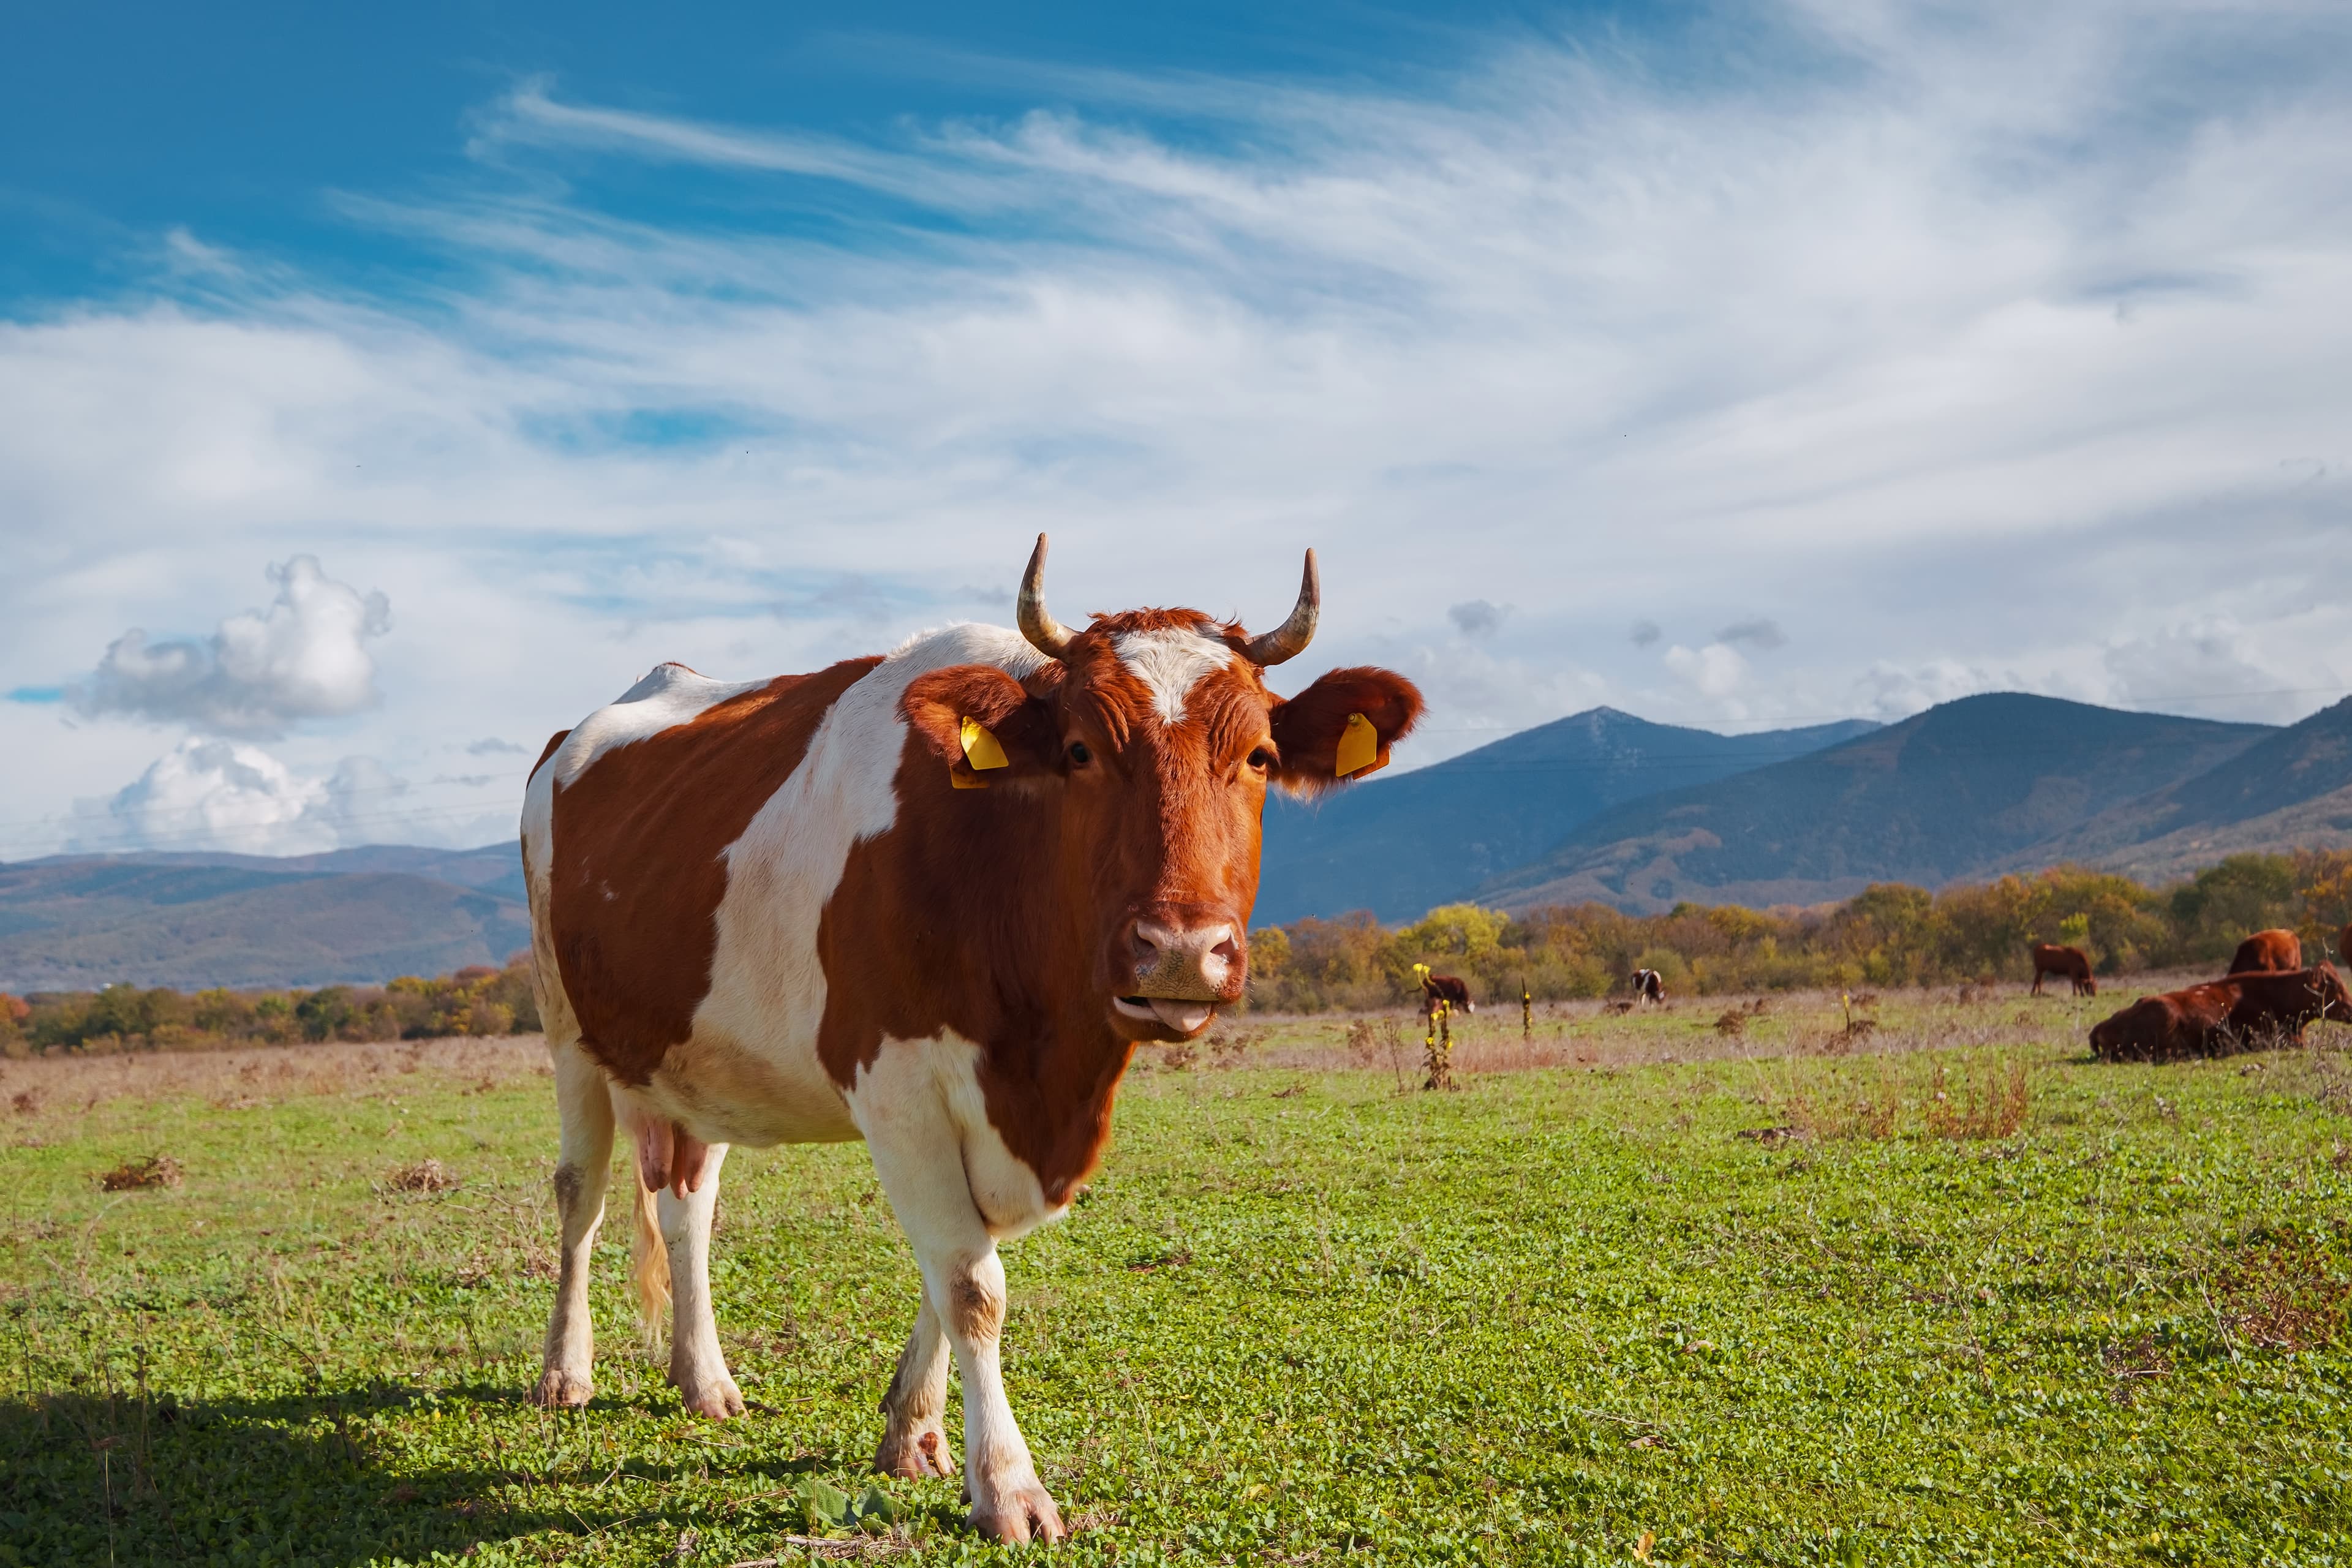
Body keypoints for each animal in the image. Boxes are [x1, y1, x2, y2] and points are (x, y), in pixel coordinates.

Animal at [520, 537, 1421, 1543]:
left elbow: (947, 1267)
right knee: (581, 1196)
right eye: (1080, 751)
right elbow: (970, 1286)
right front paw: (1009, 1484)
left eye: (1260, 755)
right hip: (568, 1032)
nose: (1184, 951)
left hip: (697, 1062)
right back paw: (565, 1370)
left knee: (687, 1207)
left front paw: (913, 1432)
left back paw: (703, 1377)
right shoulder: (898, 1088)